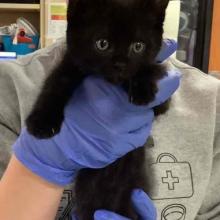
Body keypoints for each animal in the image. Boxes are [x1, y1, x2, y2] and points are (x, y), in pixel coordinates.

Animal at [26, 0, 170, 218]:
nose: (120, 64)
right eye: (102, 44)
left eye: (138, 46)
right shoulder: (69, 67)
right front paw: (41, 122)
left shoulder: (162, 96)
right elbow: (53, 87)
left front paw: (142, 88)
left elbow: (149, 70)